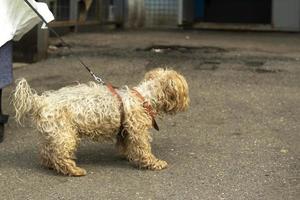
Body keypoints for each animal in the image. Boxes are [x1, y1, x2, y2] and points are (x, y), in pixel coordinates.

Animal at [13, 68, 190, 177]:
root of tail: (40, 101)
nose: (188, 103)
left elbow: (126, 145)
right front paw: (154, 163)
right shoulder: (138, 131)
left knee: (46, 153)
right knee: (60, 156)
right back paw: (74, 170)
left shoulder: (125, 130)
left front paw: (128, 155)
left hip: (52, 134)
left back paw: (51, 165)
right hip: (65, 135)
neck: (144, 98)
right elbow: (143, 149)